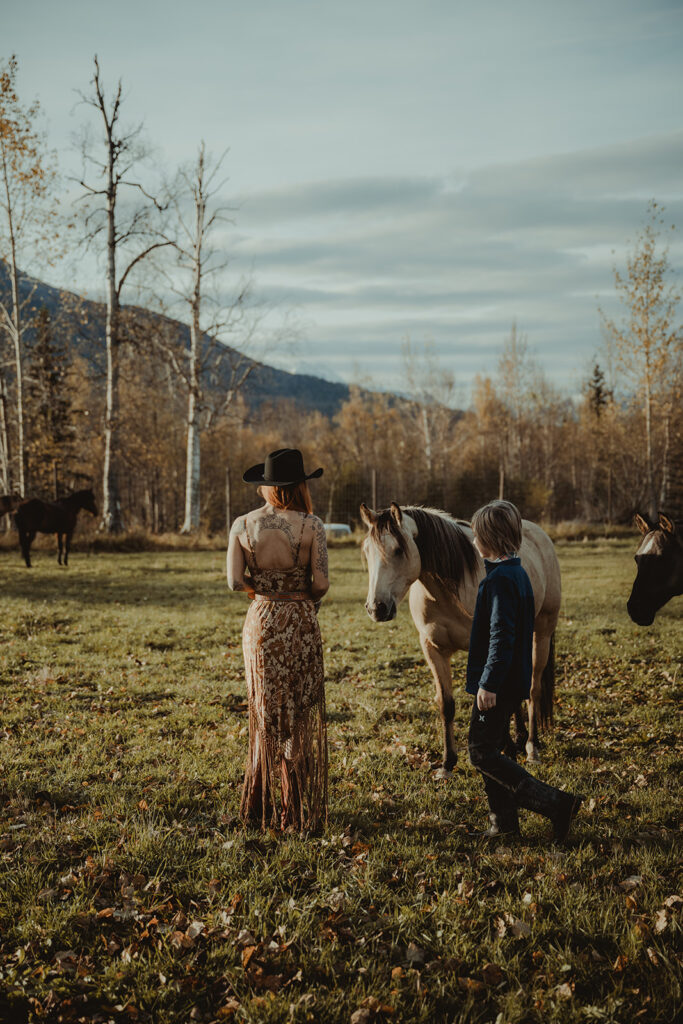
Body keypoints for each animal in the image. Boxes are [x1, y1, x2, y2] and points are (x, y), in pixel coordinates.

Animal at [360, 499, 565, 770]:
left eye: (398, 550)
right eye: (367, 551)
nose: (377, 608)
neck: (447, 592)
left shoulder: (487, 649)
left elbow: (491, 697)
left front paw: (505, 748)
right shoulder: (433, 649)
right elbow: (446, 704)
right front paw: (447, 763)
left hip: (541, 632)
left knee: (533, 688)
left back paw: (531, 746)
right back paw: (520, 738)